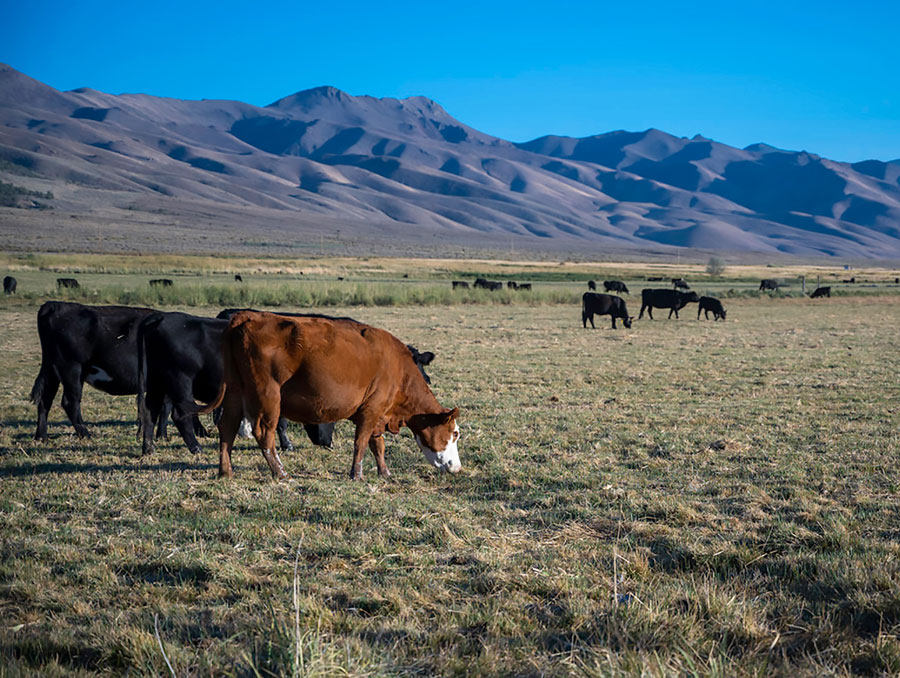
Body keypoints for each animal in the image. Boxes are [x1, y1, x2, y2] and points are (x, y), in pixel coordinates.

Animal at [31, 302, 178, 440]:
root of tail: (54, 305)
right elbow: (166, 408)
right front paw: (163, 436)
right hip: (71, 368)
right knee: (70, 402)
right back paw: (85, 435)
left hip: (51, 369)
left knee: (45, 399)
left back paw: (41, 436)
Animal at [201, 314, 460, 484]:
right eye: (455, 433)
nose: (456, 466)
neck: (399, 369)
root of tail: (246, 317)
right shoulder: (370, 411)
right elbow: (362, 443)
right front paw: (357, 475)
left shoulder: (378, 415)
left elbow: (378, 445)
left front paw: (385, 473)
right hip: (268, 396)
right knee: (264, 433)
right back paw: (281, 473)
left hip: (235, 391)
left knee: (227, 428)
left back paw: (226, 471)